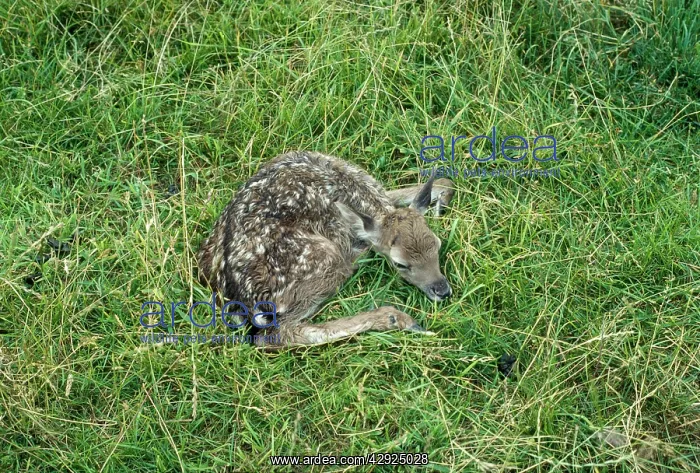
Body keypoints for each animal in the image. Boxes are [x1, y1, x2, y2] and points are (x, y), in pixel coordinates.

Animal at [197, 151, 455, 349]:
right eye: (400, 263)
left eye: (438, 244)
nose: (442, 290)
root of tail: (233, 297)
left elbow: (445, 181)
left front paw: (438, 206)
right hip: (324, 260)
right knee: (273, 334)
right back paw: (399, 318)